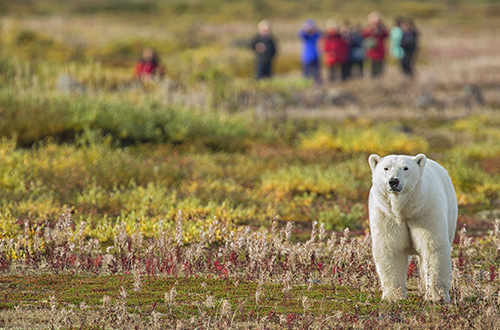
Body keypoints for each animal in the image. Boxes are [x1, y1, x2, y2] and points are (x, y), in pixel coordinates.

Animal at [368, 153, 458, 302]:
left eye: (406, 168)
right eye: (386, 168)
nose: (393, 181)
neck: (405, 211)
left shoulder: (425, 212)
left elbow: (432, 248)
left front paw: (436, 296)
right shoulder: (386, 215)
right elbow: (390, 248)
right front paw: (393, 296)